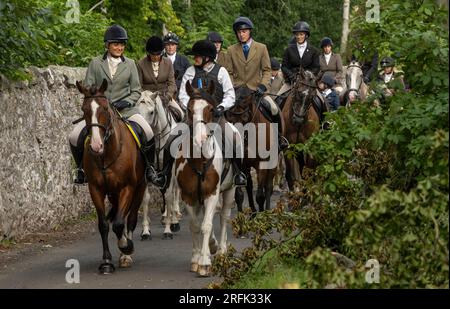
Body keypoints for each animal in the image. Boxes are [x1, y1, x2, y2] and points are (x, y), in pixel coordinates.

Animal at [75, 78, 146, 274]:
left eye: (105, 109)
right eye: (84, 109)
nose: (96, 146)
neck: (106, 154)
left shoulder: (127, 187)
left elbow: (120, 223)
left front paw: (126, 247)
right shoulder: (95, 189)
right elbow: (104, 225)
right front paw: (106, 262)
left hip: (140, 188)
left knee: (130, 219)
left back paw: (126, 254)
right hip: (113, 193)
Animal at [139, 90, 185, 239]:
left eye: (151, 112)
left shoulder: (169, 169)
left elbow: (170, 195)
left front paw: (168, 229)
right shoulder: (148, 170)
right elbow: (146, 198)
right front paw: (146, 231)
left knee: (173, 191)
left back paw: (174, 219)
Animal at [174, 80, 236, 276]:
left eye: (211, 109)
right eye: (189, 109)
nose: (199, 139)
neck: (200, 159)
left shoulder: (211, 193)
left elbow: (207, 225)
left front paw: (204, 263)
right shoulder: (188, 196)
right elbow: (195, 225)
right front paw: (196, 258)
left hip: (230, 190)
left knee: (224, 217)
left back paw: (222, 250)